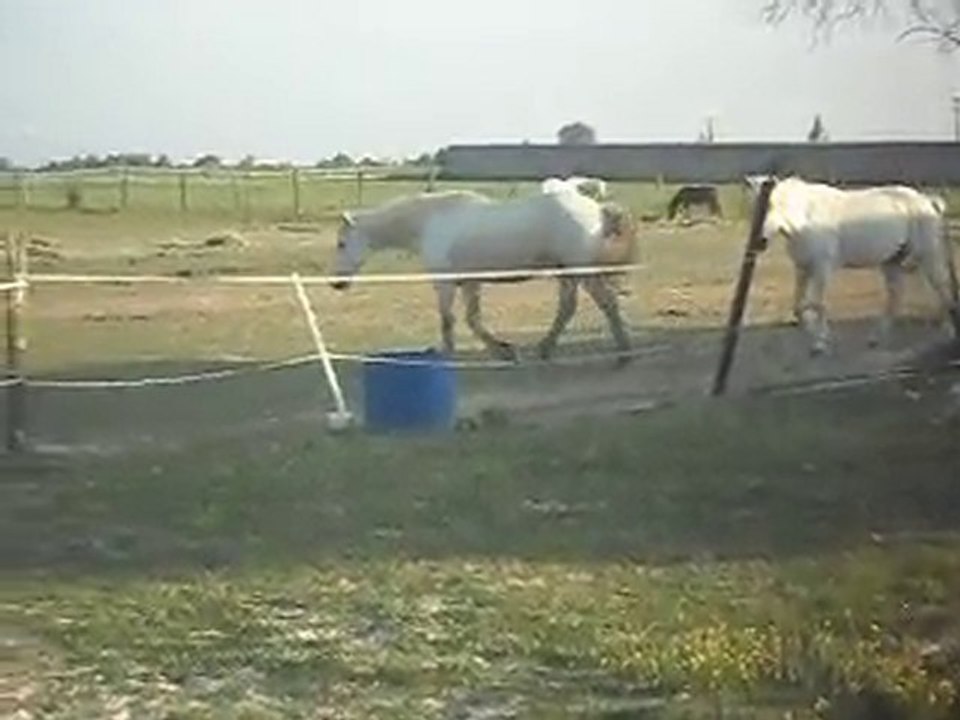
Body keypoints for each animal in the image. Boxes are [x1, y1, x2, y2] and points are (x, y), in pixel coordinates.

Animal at [329, 189, 638, 364]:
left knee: (606, 303)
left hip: (580, 272)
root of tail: (598, 209)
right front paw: (504, 350)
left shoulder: (445, 284)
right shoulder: (469, 282)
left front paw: (450, 355)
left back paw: (623, 351)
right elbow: (473, 320)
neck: (430, 221)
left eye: (341, 243)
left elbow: (449, 320)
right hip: (567, 274)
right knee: (568, 308)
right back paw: (546, 348)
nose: (336, 282)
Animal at [748, 175, 956, 355]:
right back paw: (875, 339)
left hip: (927, 255)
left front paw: (821, 342)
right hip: (891, 261)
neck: (806, 219)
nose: (759, 242)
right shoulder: (802, 268)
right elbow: (798, 305)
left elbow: (817, 303)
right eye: (757, 206)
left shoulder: (822, 269)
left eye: (772, 204)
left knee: (941, 287)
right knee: (896, 296)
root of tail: (927, 200)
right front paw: (813, 333)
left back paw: (949, 332)